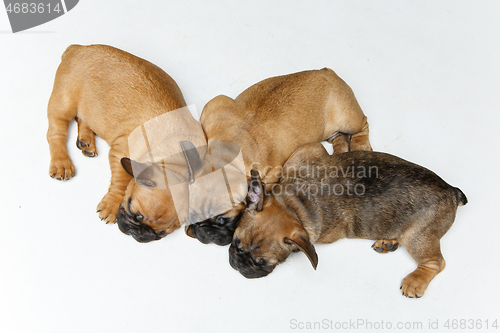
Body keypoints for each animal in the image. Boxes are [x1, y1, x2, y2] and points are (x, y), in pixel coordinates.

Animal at [185, 68, 372, 244]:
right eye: (193, 215)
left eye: (224, 220)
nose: (202, 232)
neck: (224, 156)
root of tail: (327, 71)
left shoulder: (270, 175)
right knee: (339, 138)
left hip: (348, 119)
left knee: (363, 124)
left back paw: (360, 143)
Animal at [229, 144, 466, 296]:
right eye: (235, 243)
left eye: (263, 263)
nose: (238, 264)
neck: (294, 205)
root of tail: (452, 191)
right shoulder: (307, 151)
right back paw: (388, 241)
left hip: (419, 237)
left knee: (436, 261)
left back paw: (415, 281)